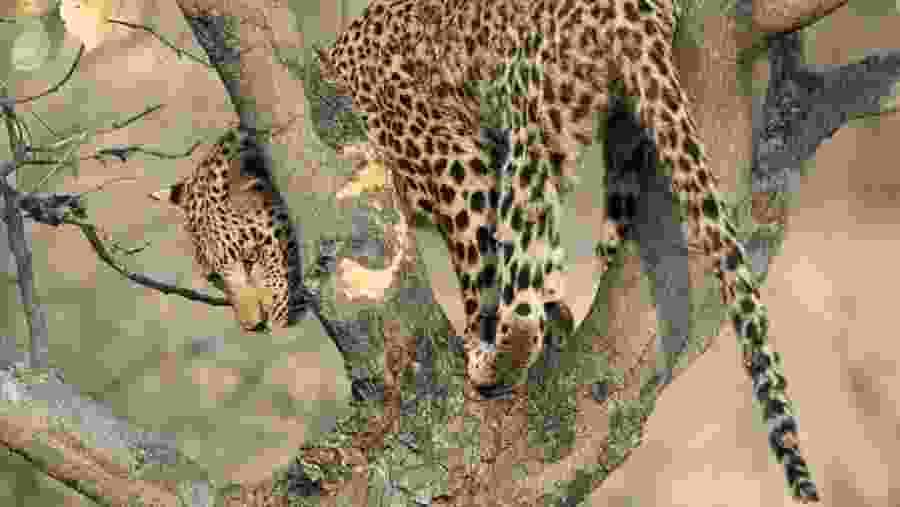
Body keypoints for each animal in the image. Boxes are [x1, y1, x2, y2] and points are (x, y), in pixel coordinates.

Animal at [308, 0, 819, 501]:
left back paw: (496, 357)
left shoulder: (450, 159)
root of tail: (630, 9)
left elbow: (481, 262)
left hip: (524, 107)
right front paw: (553, 312)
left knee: (515, 264)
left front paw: (484, 339)